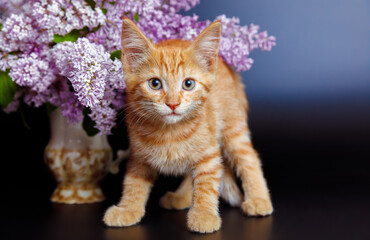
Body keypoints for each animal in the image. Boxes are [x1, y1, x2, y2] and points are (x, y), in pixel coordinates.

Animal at [102, 17, 274, 233]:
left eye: (188, 84)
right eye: (155, 84)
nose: (173, 104)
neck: (169, 132)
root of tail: (227, 66)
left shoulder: (209, 153)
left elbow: (206, 183)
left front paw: (203, 214)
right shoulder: (139, 155)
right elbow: (134, 183)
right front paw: (128, 208)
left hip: (232, 126)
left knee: (248, 157)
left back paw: (258, 198)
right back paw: (181, 196)